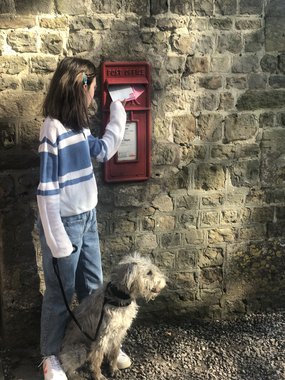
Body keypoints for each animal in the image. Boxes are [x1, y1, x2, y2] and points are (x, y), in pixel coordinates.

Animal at [60, 252, 166, 380]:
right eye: (149, 272)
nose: (164, 282)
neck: (118, 298)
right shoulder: (102, 337)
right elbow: (97, 358)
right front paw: (98, 375)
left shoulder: (119, 333)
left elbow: (114, 352)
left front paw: (114, 369)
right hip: (81, 349)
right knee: (67, 367)